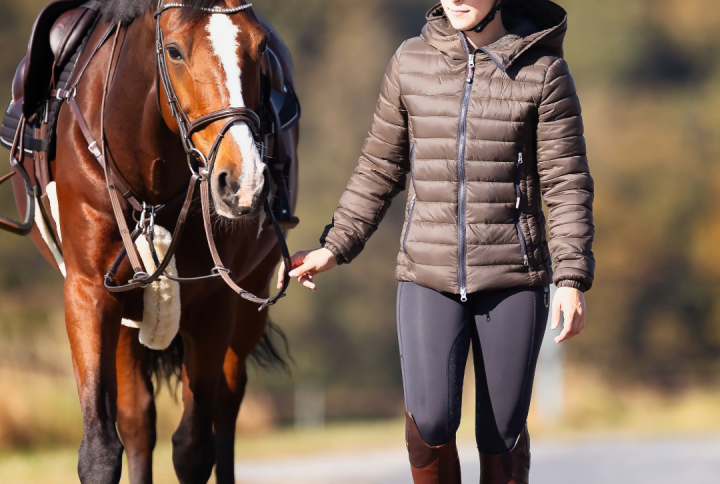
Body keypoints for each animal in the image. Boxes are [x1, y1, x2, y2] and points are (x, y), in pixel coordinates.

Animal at [3, 0, 299, 482]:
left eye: (260, 47)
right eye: (175, 51)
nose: (244, 182)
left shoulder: (215, 301)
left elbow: (194, 448)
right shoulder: (89, 292)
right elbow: (102, 450)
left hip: (249, 296)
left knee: (225, 410)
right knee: (138, 422)